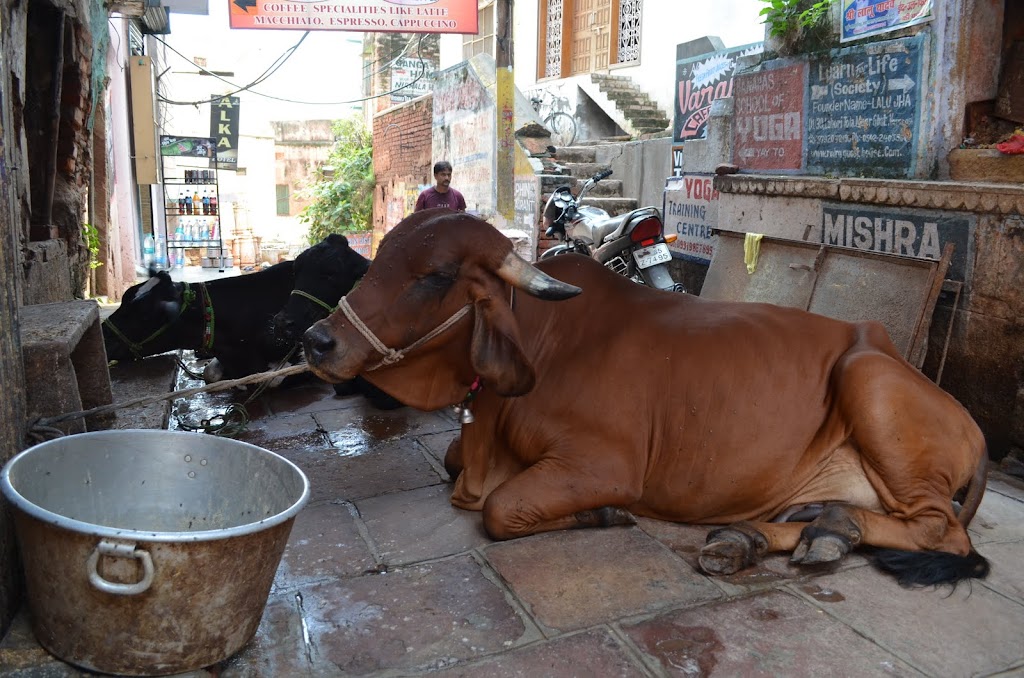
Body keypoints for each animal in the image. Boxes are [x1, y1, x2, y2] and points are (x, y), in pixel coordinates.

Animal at [299, 209, 987, 585]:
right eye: (377, 257)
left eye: (436, 276)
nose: (316, 340)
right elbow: (452, 466)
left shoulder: (605, 465)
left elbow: (500, 509)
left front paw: (605, 515)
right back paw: (776, 535)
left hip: (869, 382)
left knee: (943, 532)